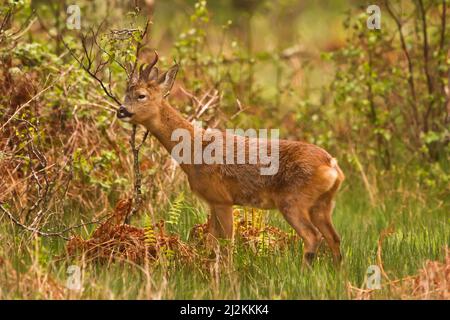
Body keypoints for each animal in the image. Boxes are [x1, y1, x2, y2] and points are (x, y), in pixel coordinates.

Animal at [117, 54, 344, 264]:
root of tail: (331, 165)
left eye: (141, 95)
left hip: (293, 200)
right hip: (323, 204)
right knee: (334, 238)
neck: (194, 151)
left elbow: (227, 244)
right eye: (125, 93)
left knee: (313, 237)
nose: (121, 111)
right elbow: (212, 243)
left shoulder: (222, 198)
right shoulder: (212, 201)